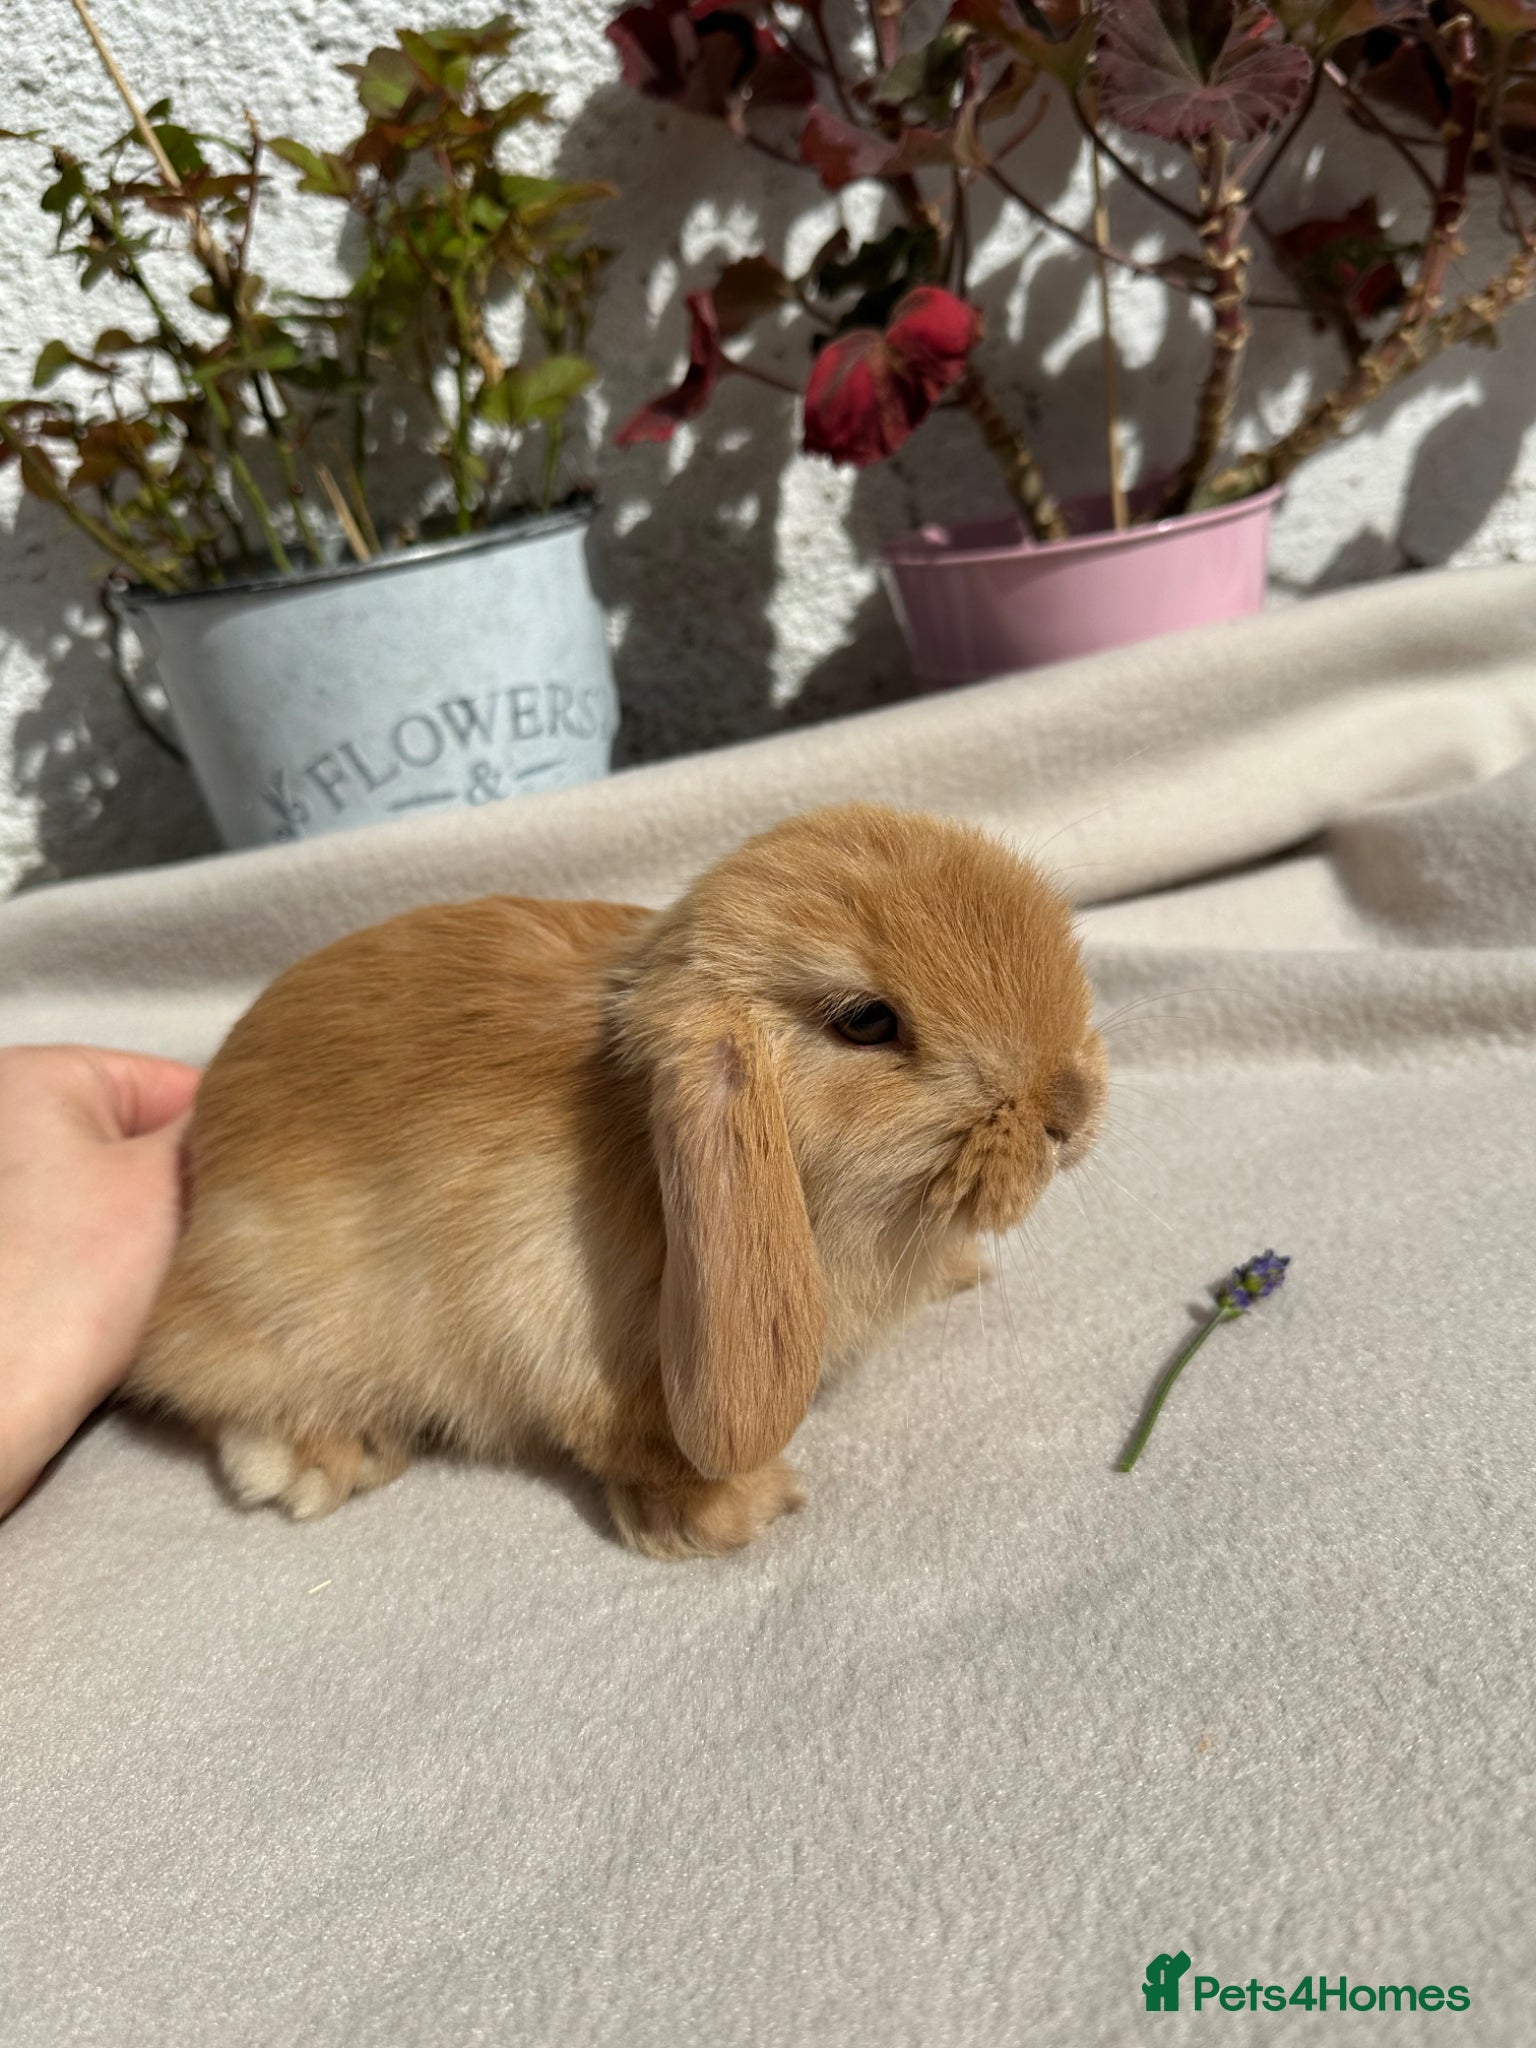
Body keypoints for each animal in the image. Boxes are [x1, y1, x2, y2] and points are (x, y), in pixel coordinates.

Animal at [126, 803, 1107, 1557]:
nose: (1072, 1108)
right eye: (866, 1020)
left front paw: (962, 1271)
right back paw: (317, 1460)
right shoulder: (555, 1325)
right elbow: (625, 1433)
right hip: (266, 1305)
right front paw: (733, 1512)